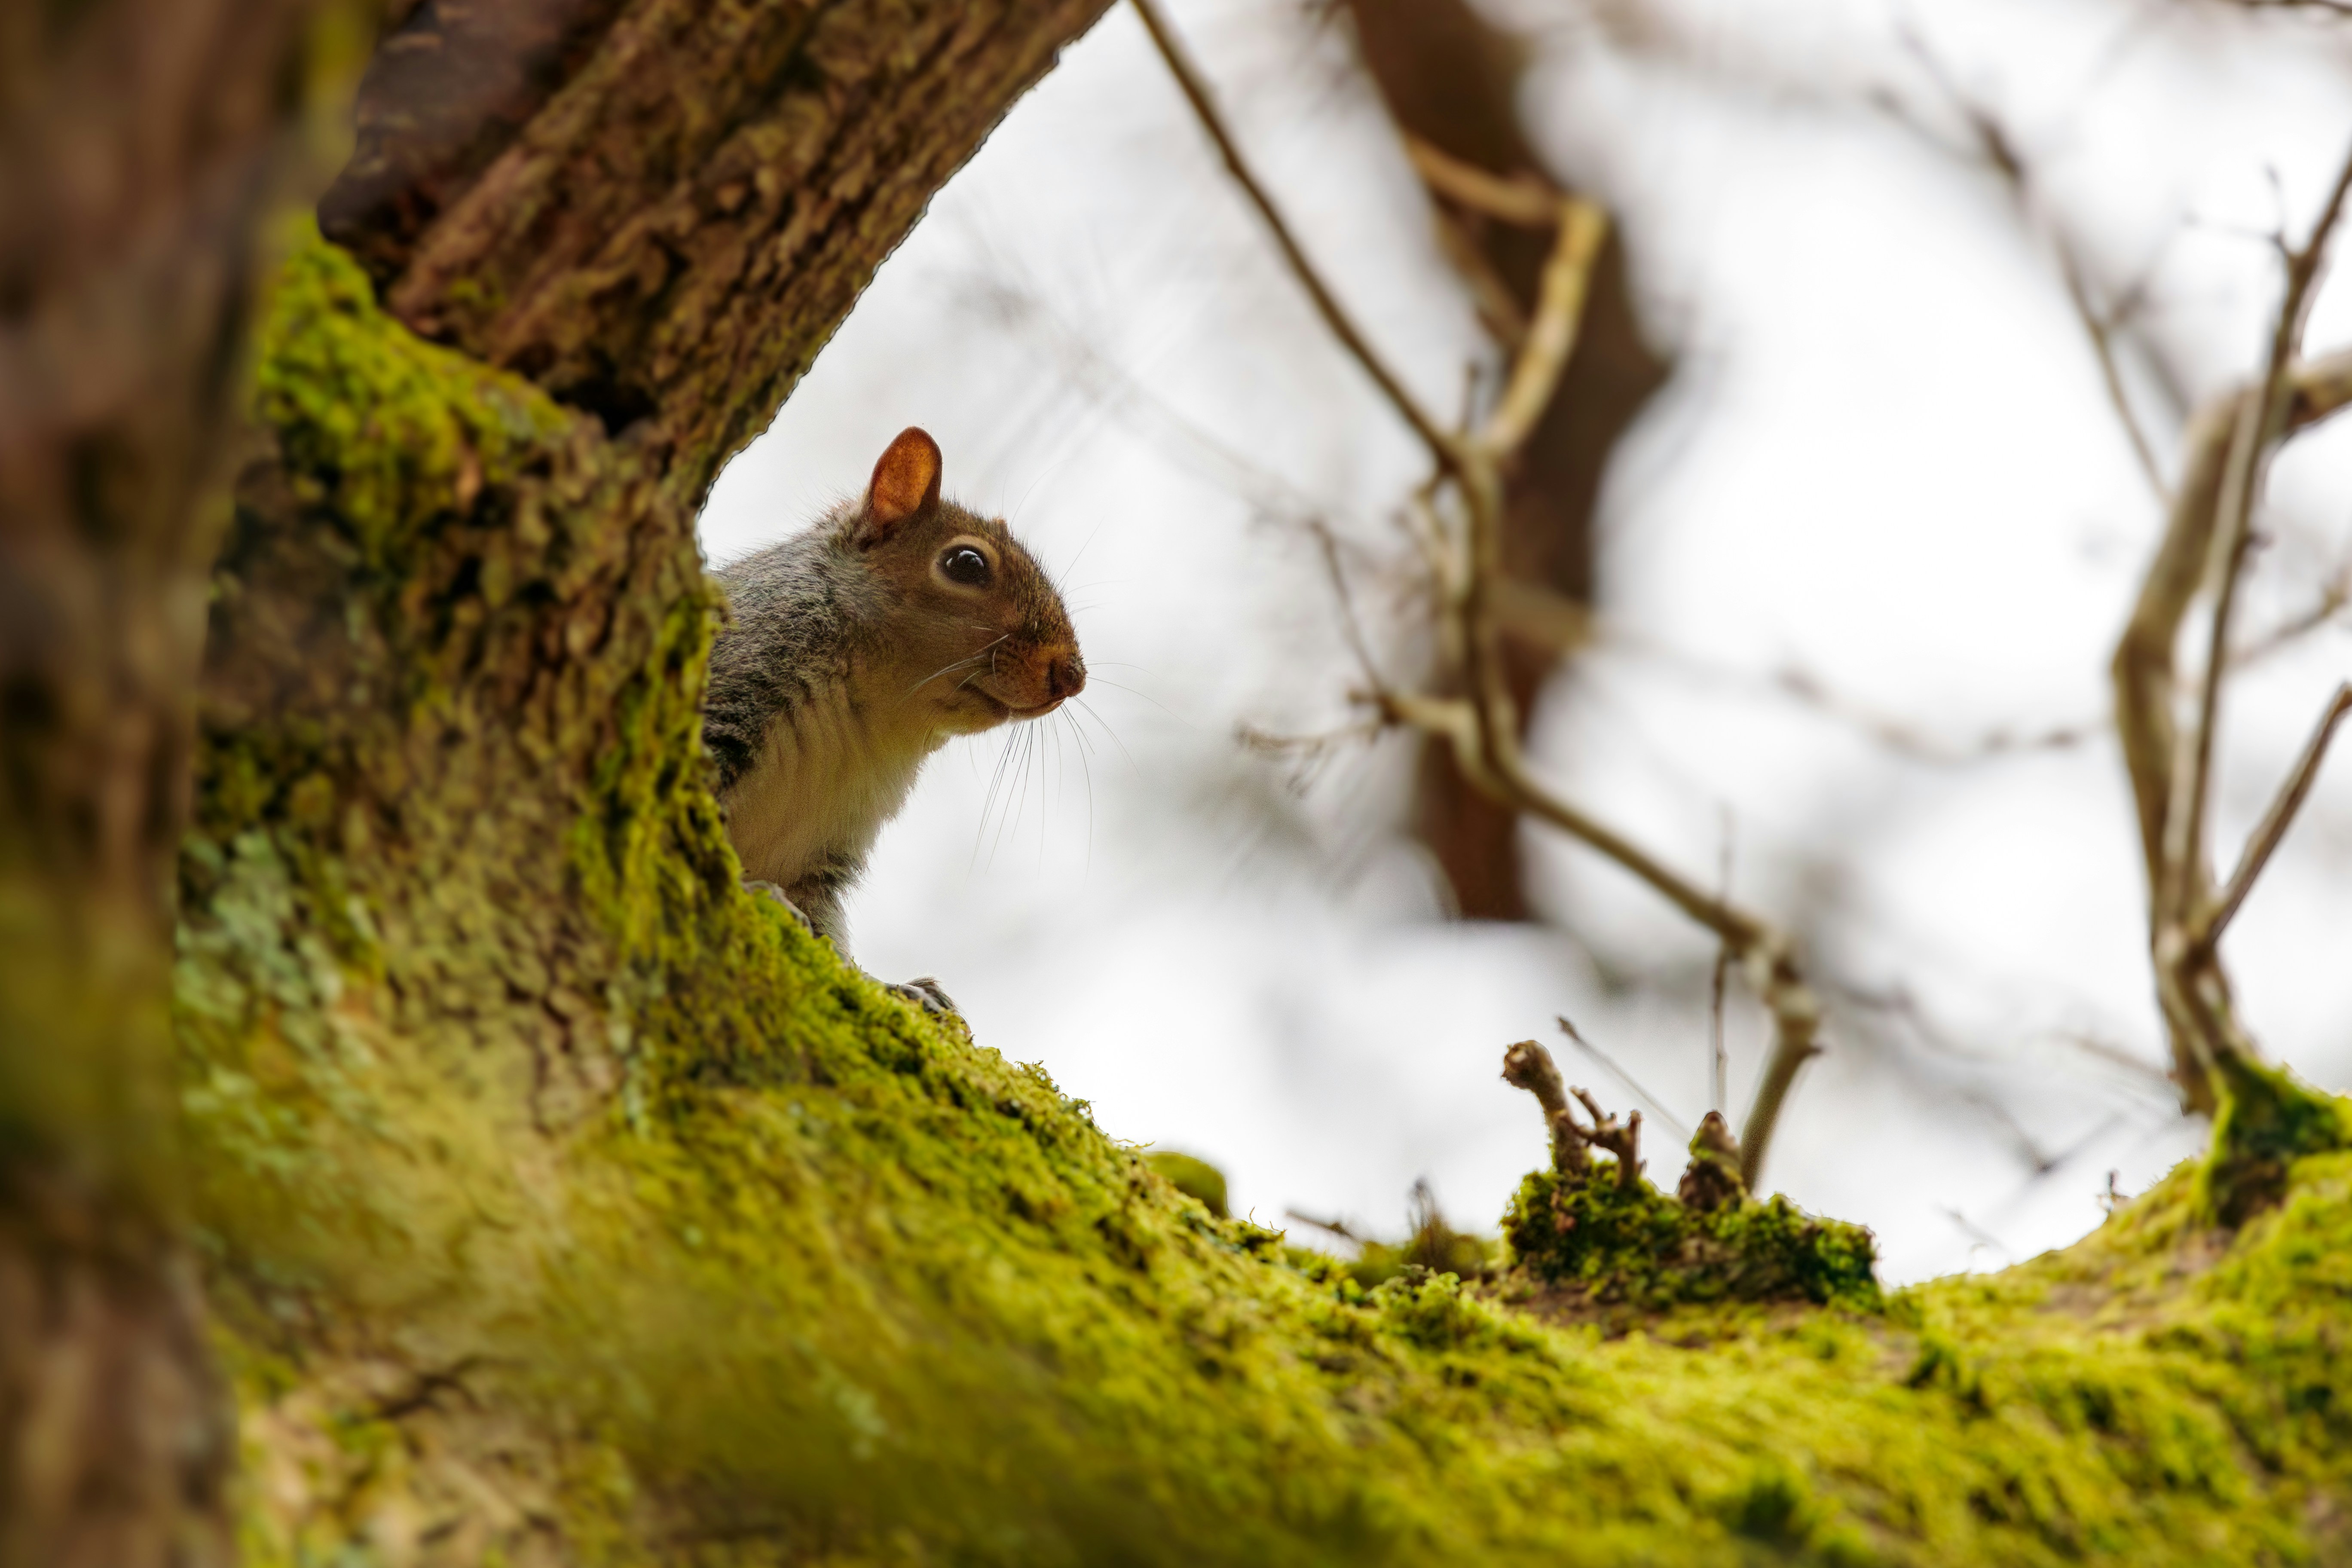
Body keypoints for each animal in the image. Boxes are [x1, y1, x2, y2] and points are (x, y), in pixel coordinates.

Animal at [703, 426, 1086, 982]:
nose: (1073, 677)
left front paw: (897, 987)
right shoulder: (734, 676)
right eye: (966, 563)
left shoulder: (827, 846)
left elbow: (825, 925)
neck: (867, 711)